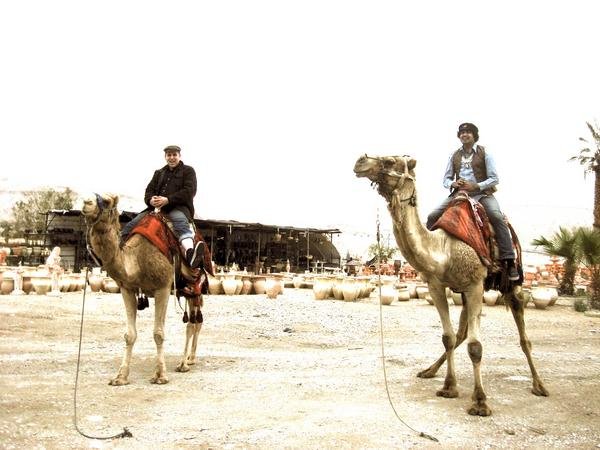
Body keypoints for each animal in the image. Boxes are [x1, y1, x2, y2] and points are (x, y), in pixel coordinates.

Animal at [82, 193, 202, 385]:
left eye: (107, 201)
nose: (86, 202)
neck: (136, 260)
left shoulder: (163, 287)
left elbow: (158, 333)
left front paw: (160, 375)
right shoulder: (127, 289)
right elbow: (129, 335)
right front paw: (120, 377)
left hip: (195, 287)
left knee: (192, 323)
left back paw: (184, 363)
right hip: (185, 290)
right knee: (195, 322)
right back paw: (190, 359)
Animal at [353, 154, 548, 416]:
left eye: (391, 160)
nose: (360, 161)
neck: (443, 251)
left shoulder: (475, 284)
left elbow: (476, 346)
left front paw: (480, 402)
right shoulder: (436, 286)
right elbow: (448, 337)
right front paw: (449, 386)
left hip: (511, 283)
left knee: (523, 336)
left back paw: (539, 385)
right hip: (466, 294)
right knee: (461, 333)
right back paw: (429, 370)